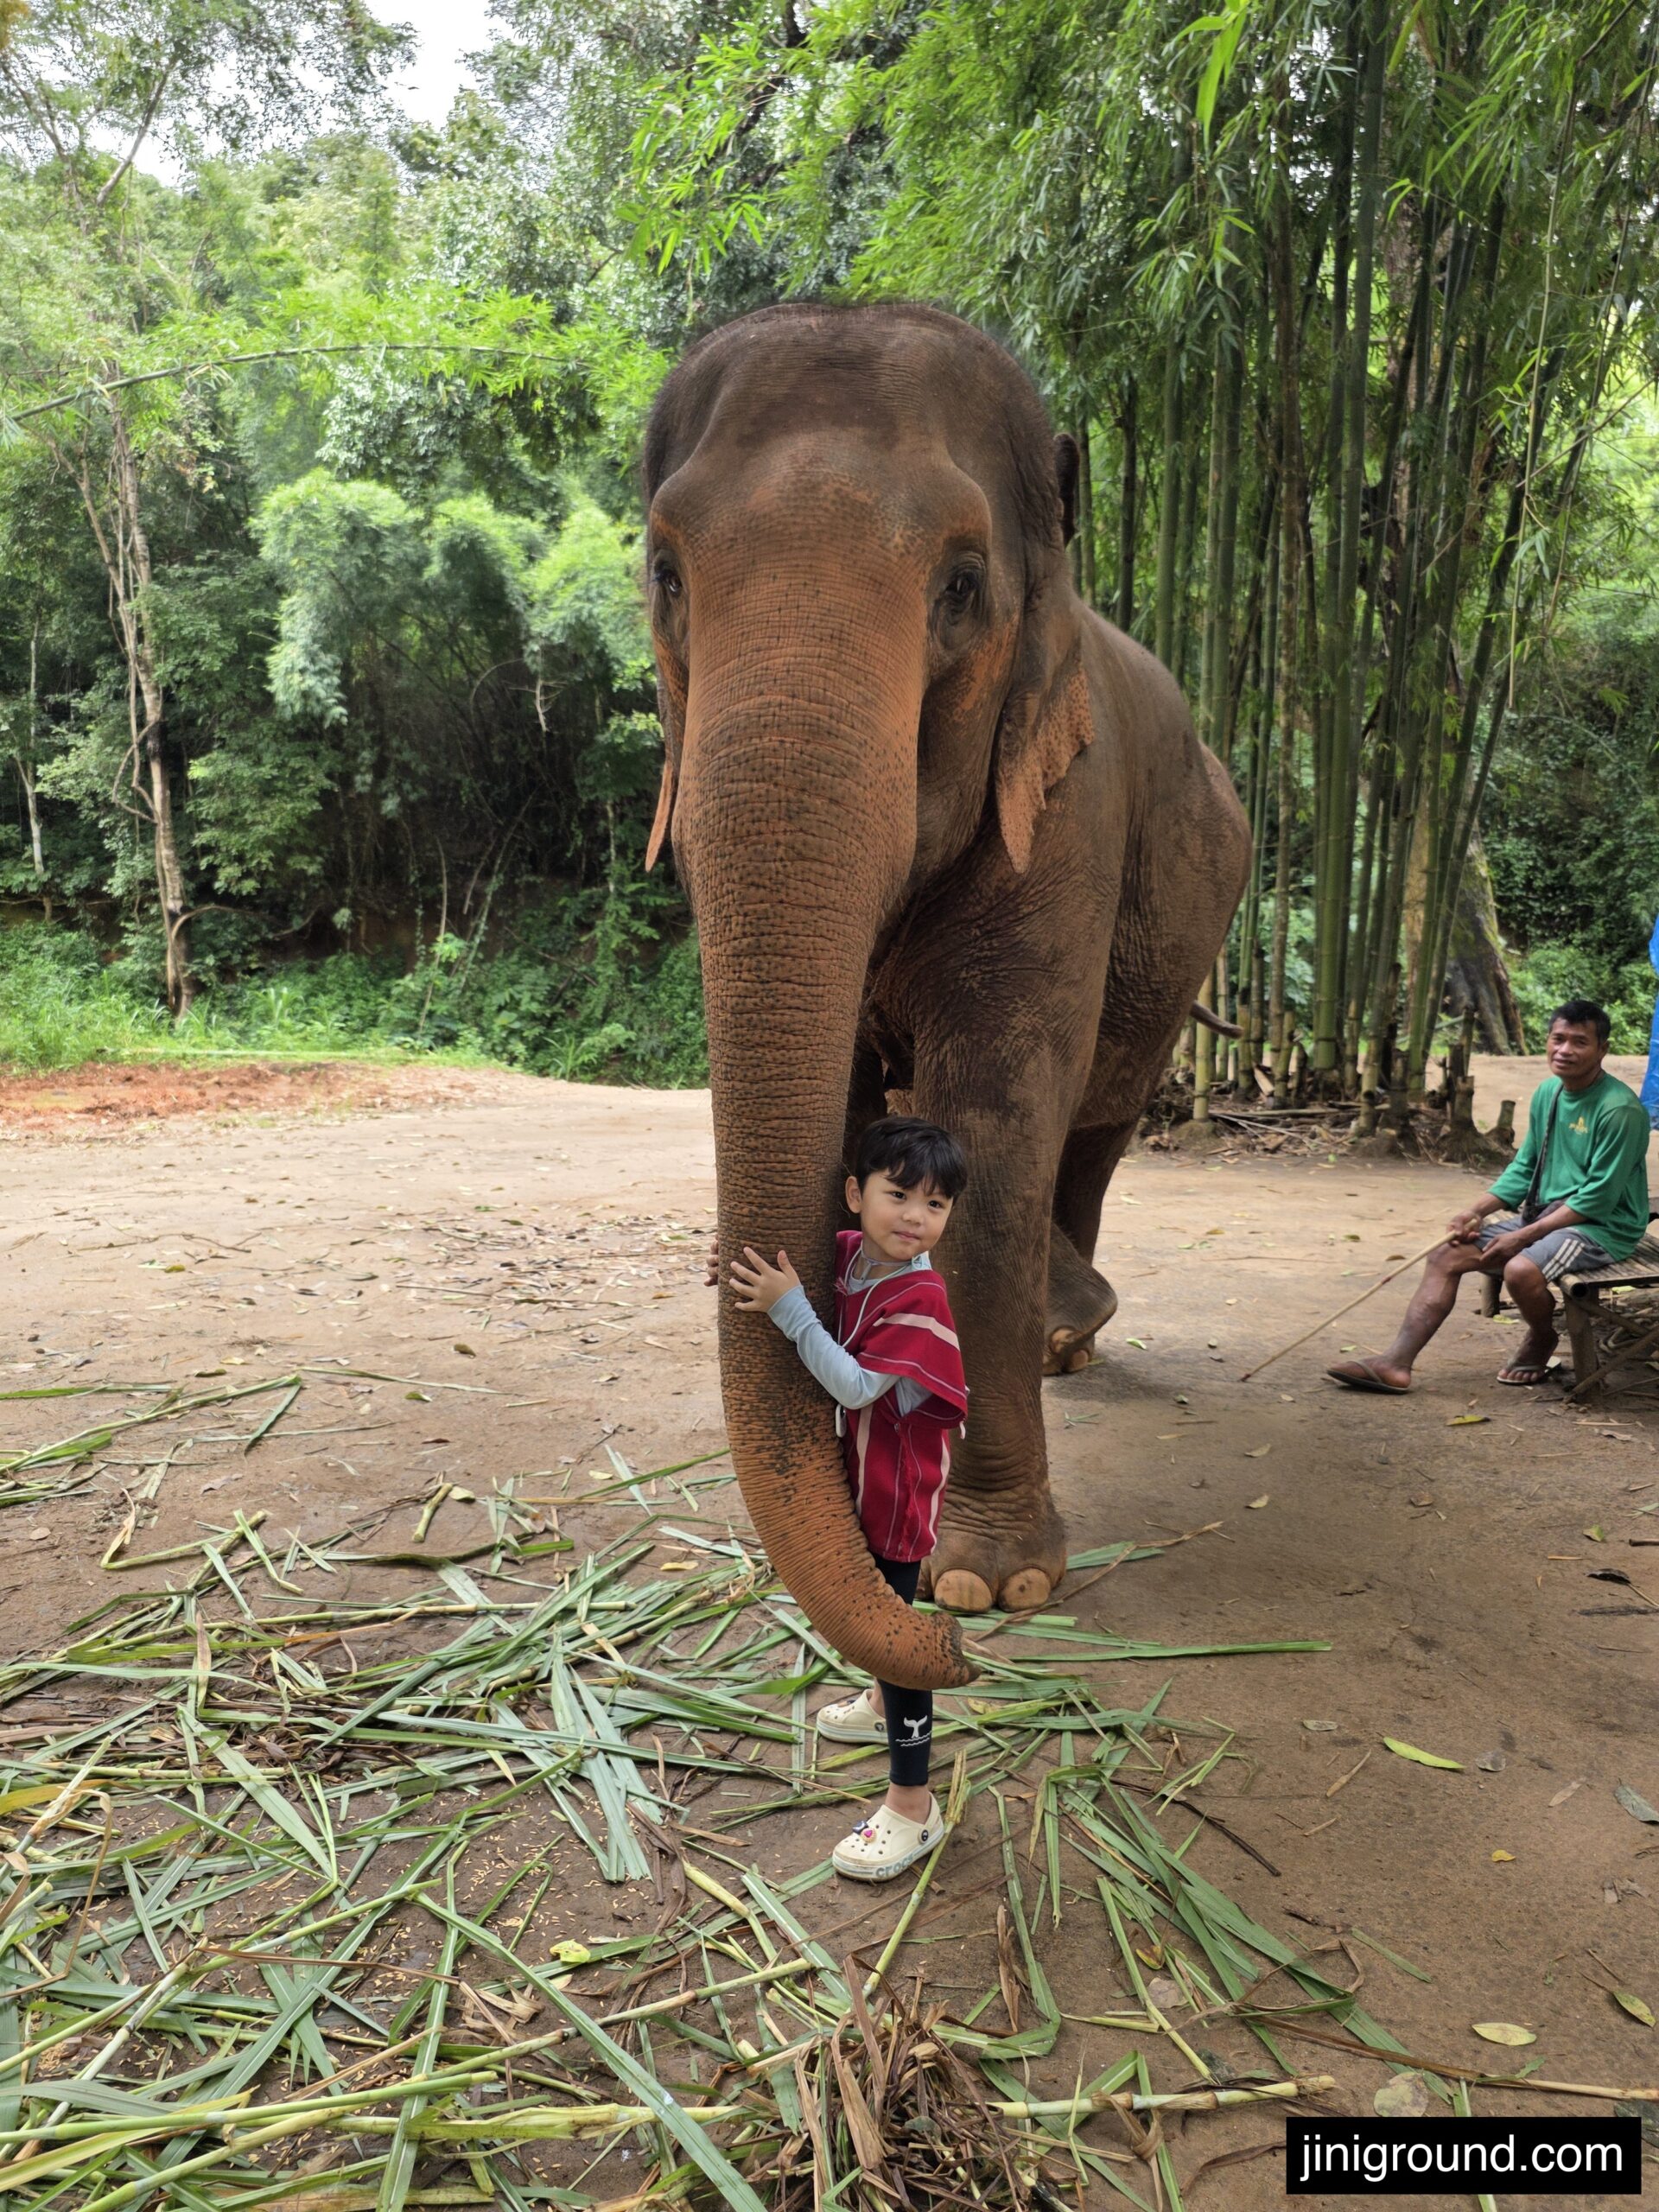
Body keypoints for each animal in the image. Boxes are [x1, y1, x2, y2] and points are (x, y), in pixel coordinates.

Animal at [642, 301, 1249, 1691]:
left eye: (962, 587)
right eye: (664, 575)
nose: (943, 1649)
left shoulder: (1067, 814)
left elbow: (996, 1129)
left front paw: (993, 1579)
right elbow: (863, 1114)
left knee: (1094, 1127)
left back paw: (1070, 1332)